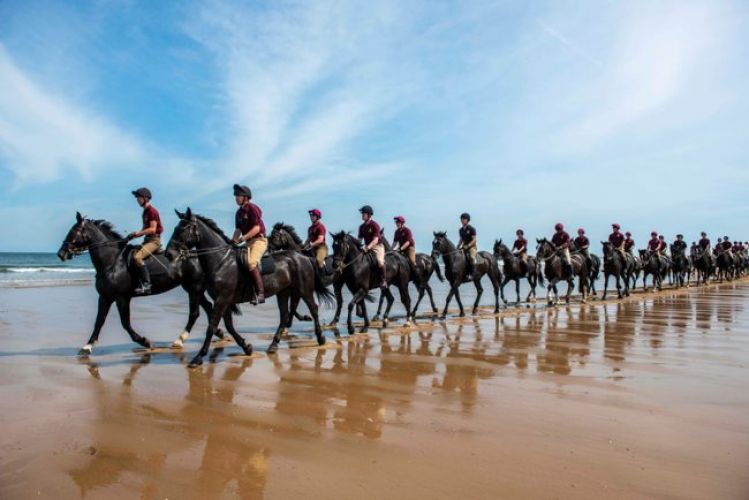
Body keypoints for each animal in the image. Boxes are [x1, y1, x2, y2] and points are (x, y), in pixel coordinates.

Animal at [58, 211, 237, 356]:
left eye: (74, 231)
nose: (61, 253)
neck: (112, 262)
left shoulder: (122, 298)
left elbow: (125, 324)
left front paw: (146, 342)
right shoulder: (105, 297)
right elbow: (99, 321)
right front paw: (87, 346)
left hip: (194, 287)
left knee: (195, 312)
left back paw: (179, 340)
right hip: (191, 287)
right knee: (207, 307)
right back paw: (220, 334)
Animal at [165, 209, 332, 366]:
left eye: (183, 229)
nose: (168, 254)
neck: (222, 261)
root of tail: (303, 257)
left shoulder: (222, 299)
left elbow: (212, 327)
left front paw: (198, 357)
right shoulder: (224, 300)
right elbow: (229, 326)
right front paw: (247, 347)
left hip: (304, 289)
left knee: (313, 309)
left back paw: (321, 338)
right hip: (283, 292)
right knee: (284, 315)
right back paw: (273, 344)